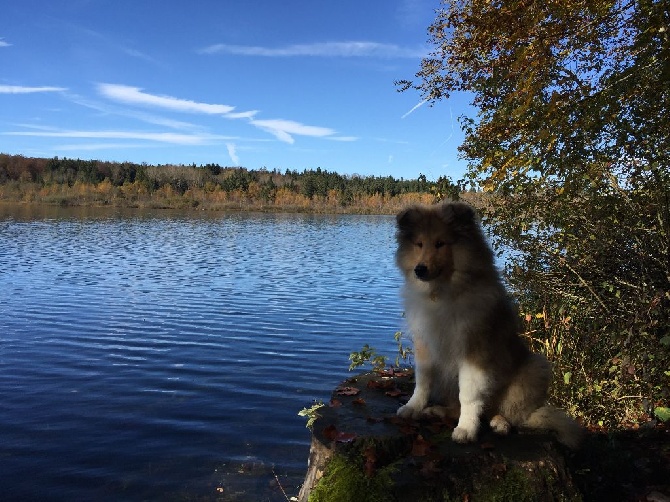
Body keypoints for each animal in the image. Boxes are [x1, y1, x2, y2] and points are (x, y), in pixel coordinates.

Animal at [396, 200, 580, 448]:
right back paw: (437, 411)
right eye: (419, 244)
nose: (420, 269)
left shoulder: (474, 349)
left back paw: (499, 423)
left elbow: (469, 394)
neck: (442, 292)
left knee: (509, 413)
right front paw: (413, 407)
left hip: (534, 368)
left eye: (440, 243)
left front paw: (466, 429)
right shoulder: (425, 343)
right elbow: (423, 380)